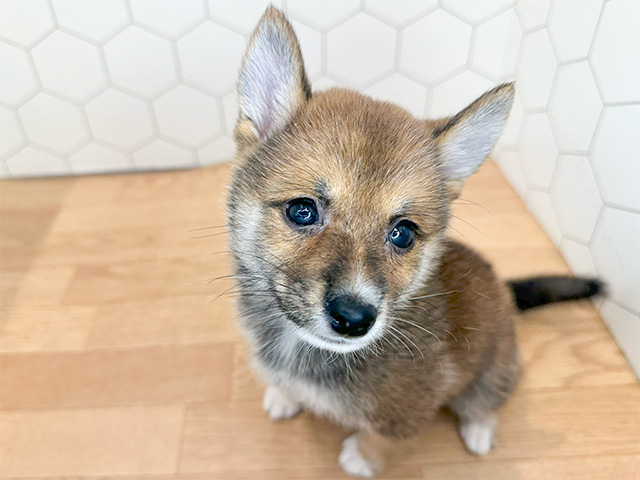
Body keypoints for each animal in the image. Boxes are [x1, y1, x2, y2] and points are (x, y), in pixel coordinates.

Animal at [228, 6, 604, 476]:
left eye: (403, 233)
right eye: (302, 211)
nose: (355, 318)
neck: (297, 346)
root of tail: (503, 289)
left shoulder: (408, 414)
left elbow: (381, 439)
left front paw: (361, 459)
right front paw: (283, 395)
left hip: (495, 368)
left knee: (488, 399)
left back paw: (480, 431)